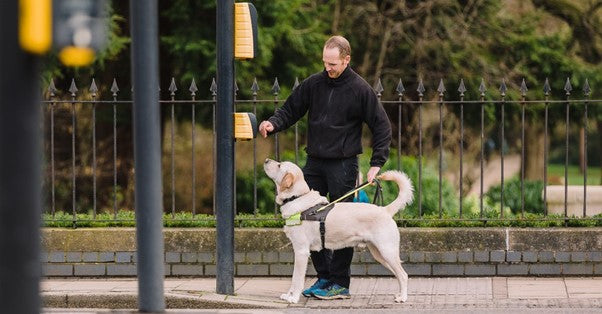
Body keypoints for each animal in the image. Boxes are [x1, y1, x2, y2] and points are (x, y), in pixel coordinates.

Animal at [262, 158, 412, 302]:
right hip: (379, 254)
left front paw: (293, 298)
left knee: (403, 275)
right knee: (398, 274)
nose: (266, 160)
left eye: (280, 165)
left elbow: (296, 278)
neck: (296, 198)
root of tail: (385, 210)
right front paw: (288, 295)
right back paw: (399, 294)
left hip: (387, 251)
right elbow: (294, 279)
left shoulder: (301, 252)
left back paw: (403, 298)